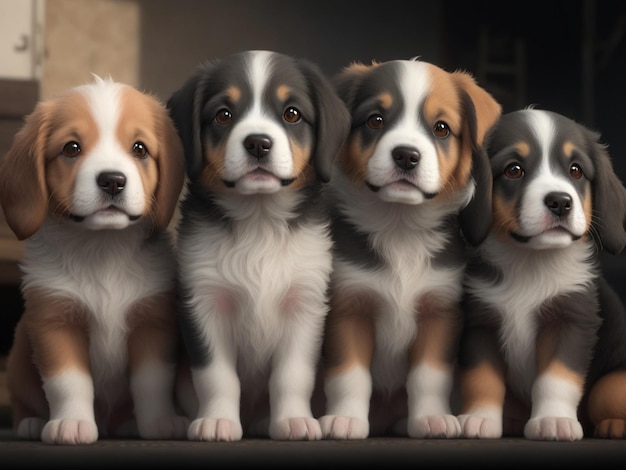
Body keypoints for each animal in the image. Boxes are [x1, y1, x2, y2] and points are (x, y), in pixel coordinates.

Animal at [0, 76, 186, 444]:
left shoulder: (152, 322)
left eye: (139, 149)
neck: (102, 249)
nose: (113, 180)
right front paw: (71, 422)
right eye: (71, 148)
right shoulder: (55, 322)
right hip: (18, 359)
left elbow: (151, 384)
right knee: (23, 399)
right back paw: (31, 423)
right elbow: (69, 383)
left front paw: (160, 422)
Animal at [166, 50, 352, 440]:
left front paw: (293, 420)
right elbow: (217, 376)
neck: (260, 222)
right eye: (223, 114)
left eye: (292, 113)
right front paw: (217, 420)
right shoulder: (204, 301)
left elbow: (291, 375)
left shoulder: (305, 304)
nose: (257, 143)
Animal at [320, 59, 500, 440]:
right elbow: (349, 375)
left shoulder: (440, 310)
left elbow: (428, 376)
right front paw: (345, 419)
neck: (399, 228)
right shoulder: (348, 307)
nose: (406, 155)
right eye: (375, 120)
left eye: (441, 128)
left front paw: (431, 419)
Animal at [456, 107, 624, 440]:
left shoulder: (570, 319)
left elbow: (555, 379)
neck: (531, 264)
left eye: (575, 171)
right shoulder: (481, 323)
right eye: (514, 170)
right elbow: (481, 379)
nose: (560, 202)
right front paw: (479, 418)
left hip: (610, 385)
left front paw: (554, 420)